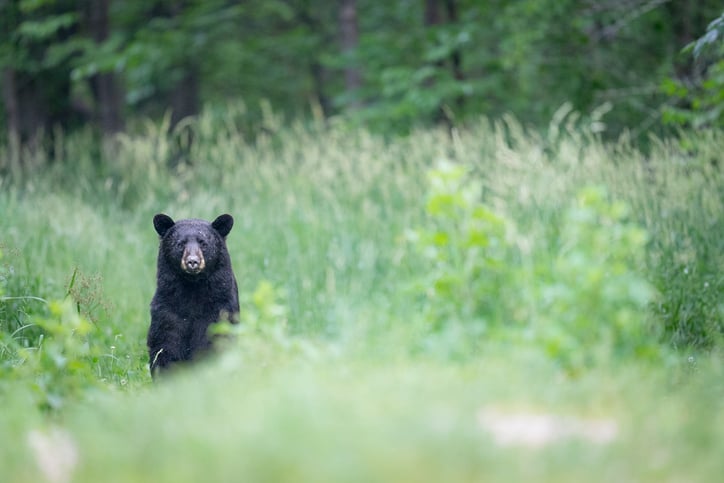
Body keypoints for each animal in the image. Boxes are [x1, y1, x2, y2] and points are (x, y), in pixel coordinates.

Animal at [147, 215, 240, 378]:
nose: (192, 261)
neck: (193, 288)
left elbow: (214, 341)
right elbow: (165, 344)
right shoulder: (167, 308)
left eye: (203, 243)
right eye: (180, 244)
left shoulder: (219, 308)